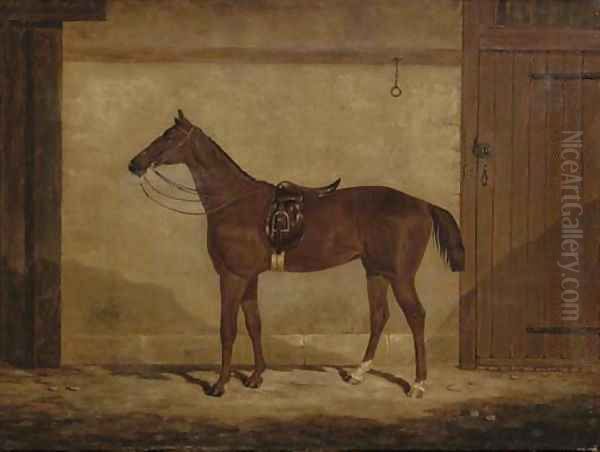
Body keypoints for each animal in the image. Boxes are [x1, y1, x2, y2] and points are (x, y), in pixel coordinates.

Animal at [127, 111, 464, 398]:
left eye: (168, 137)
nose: (135, 163)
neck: (233, 201)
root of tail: (422, 204)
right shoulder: (249, 278)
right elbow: (254, 325)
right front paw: (255, 377)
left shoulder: (232, 277)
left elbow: (228, 330)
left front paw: (220, 385)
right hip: (376, 272)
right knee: (380, 315)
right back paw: (358, 373)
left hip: (400, 276)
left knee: (416, 317)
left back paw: (418, 384)